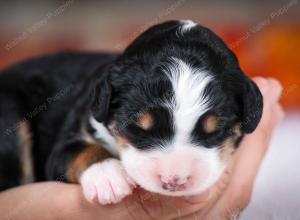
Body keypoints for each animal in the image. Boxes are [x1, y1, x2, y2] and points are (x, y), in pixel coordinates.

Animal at [0, 20, 262, 205]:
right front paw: (107, 176)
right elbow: (79, 150)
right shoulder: (75, 130)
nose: (173, 181)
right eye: (138, 129)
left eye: (215, 132)